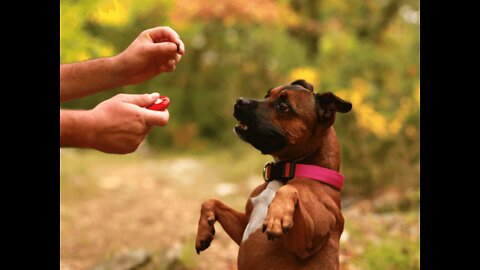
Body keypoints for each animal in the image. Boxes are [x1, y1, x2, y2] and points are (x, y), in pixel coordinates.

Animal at [195, 80, 352, 270]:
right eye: (267, 94)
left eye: (283, 106)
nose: (239, 101)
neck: (286, 171)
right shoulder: (243, 226)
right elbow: (211, 202)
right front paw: (204, 230)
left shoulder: (306, 244)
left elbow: (289, 190)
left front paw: (277, 215)